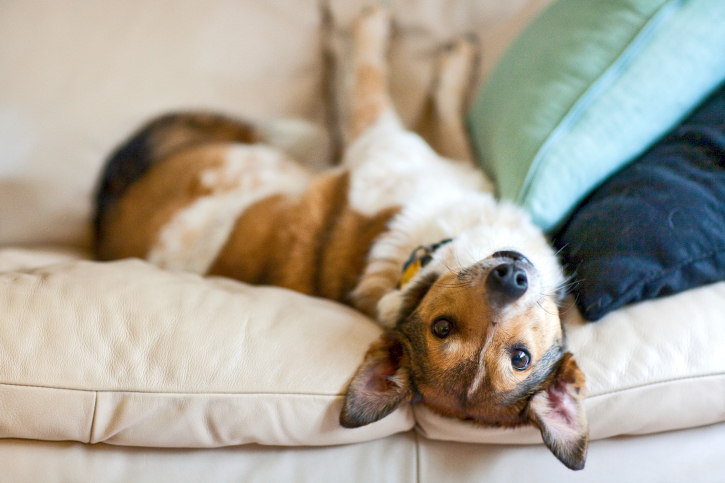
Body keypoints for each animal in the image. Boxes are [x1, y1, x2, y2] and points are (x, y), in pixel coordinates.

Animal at [92, 5, 588, 470]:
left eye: (519, 358)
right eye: (442, 328)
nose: (511, 278)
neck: (422, 259)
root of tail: (109, 212)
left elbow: (397, 96)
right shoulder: (392, 143)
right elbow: (379, 83)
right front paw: (383, 30)